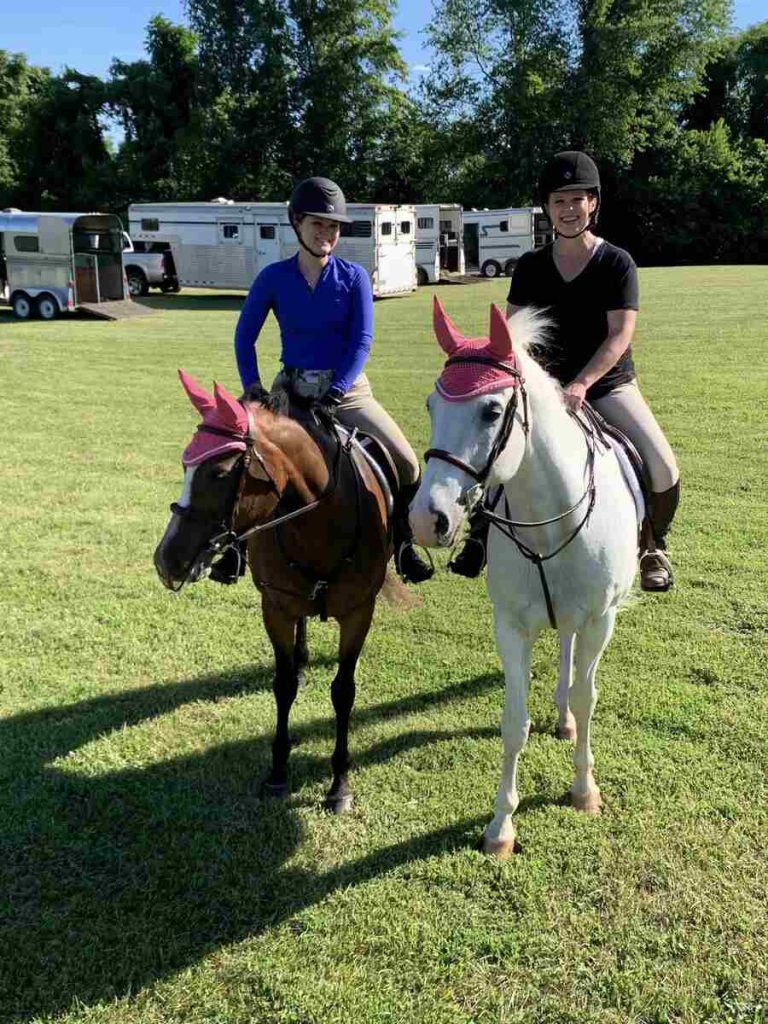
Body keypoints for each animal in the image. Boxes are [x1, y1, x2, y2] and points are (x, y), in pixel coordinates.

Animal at [154, 372, 393, 811]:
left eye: (220, 472)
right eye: (184, 464)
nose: (166, 560)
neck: (318, 524)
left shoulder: (359, 612)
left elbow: (343, 692)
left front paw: (339, 783)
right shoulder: (277, 606)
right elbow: (283, 687)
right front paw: (278, 772)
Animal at [411, 299, 638, 856]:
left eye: (492, 412)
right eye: (430, 406)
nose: (426, 519)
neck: (550, 517)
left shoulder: (601, 619)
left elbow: (587, 696)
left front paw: (583, 790)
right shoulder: (511, 626)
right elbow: (513, 723)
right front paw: (501, 826)